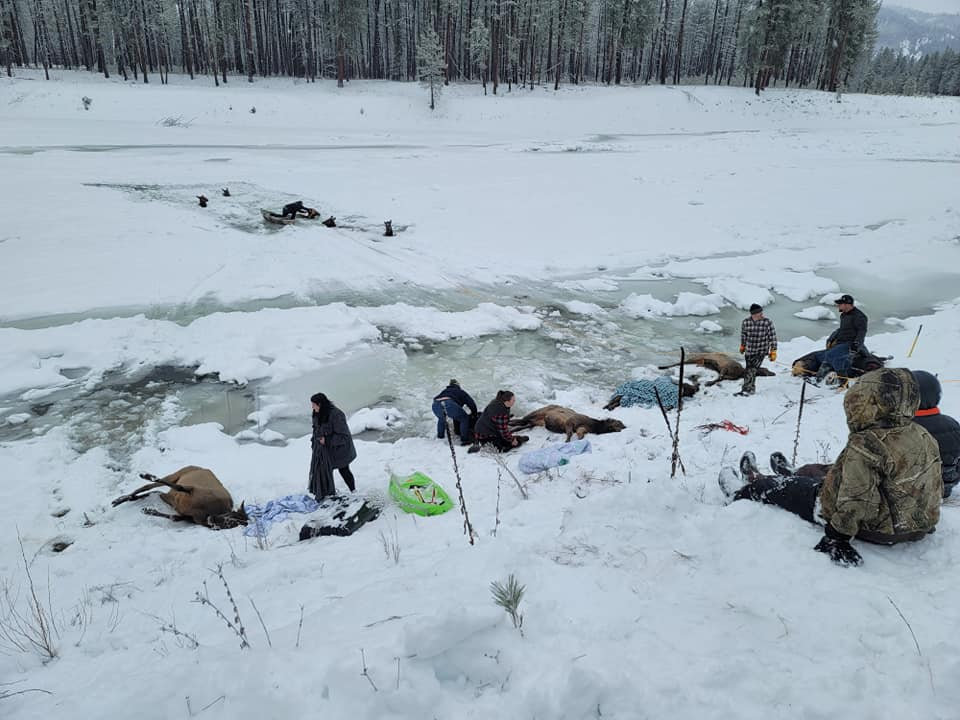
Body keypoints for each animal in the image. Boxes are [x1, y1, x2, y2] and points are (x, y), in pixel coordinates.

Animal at [110, 466, 249, 528]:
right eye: (232, 519)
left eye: (235, 524)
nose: (212, 521)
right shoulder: (192, 489)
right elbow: (180, 487)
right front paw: (149, 476)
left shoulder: (188, 516)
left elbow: (173, 518)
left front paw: (148, 510)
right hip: (176, 474)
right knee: (149, 486)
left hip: (168, 497)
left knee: (155, 492)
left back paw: (126, 498)